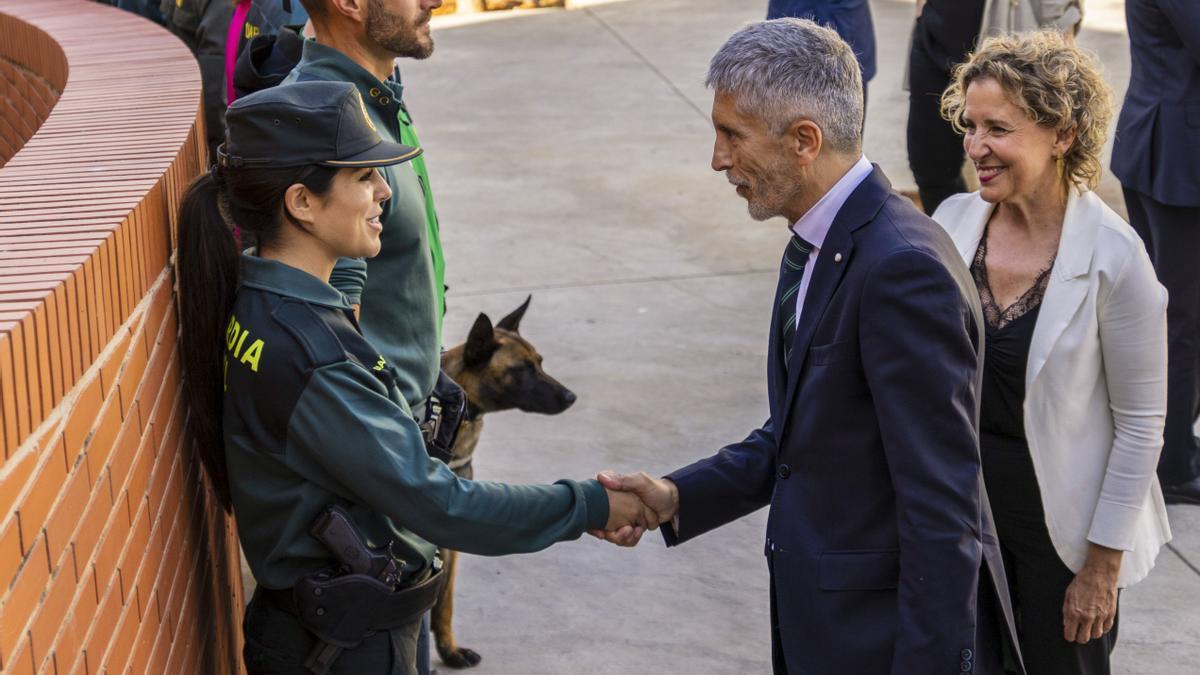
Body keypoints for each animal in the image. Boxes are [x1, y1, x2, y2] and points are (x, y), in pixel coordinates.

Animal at [436, 295, 576, 667]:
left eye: (540, 362)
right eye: (522, 369)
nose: (570, 397)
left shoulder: (448, 539)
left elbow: (444, 602)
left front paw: (448, 650)